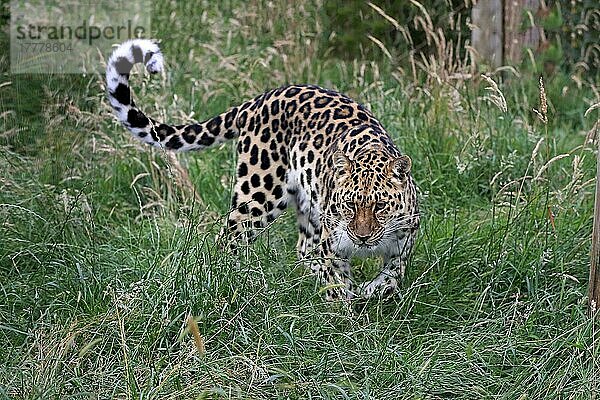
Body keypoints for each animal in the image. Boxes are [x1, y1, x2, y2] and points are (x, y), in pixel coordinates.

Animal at [105, 39, 420, 300]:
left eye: (380, 206)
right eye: (350, 205)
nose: (362, 237)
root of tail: (257, 100)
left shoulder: (404, 243)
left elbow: (394, 275)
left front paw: (372, 291)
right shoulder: (332, 246)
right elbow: (337, 284)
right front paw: (346, 318)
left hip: (307, 203)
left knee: (303, 249)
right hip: (257, 196)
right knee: (227, 241)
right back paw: (224, 283)